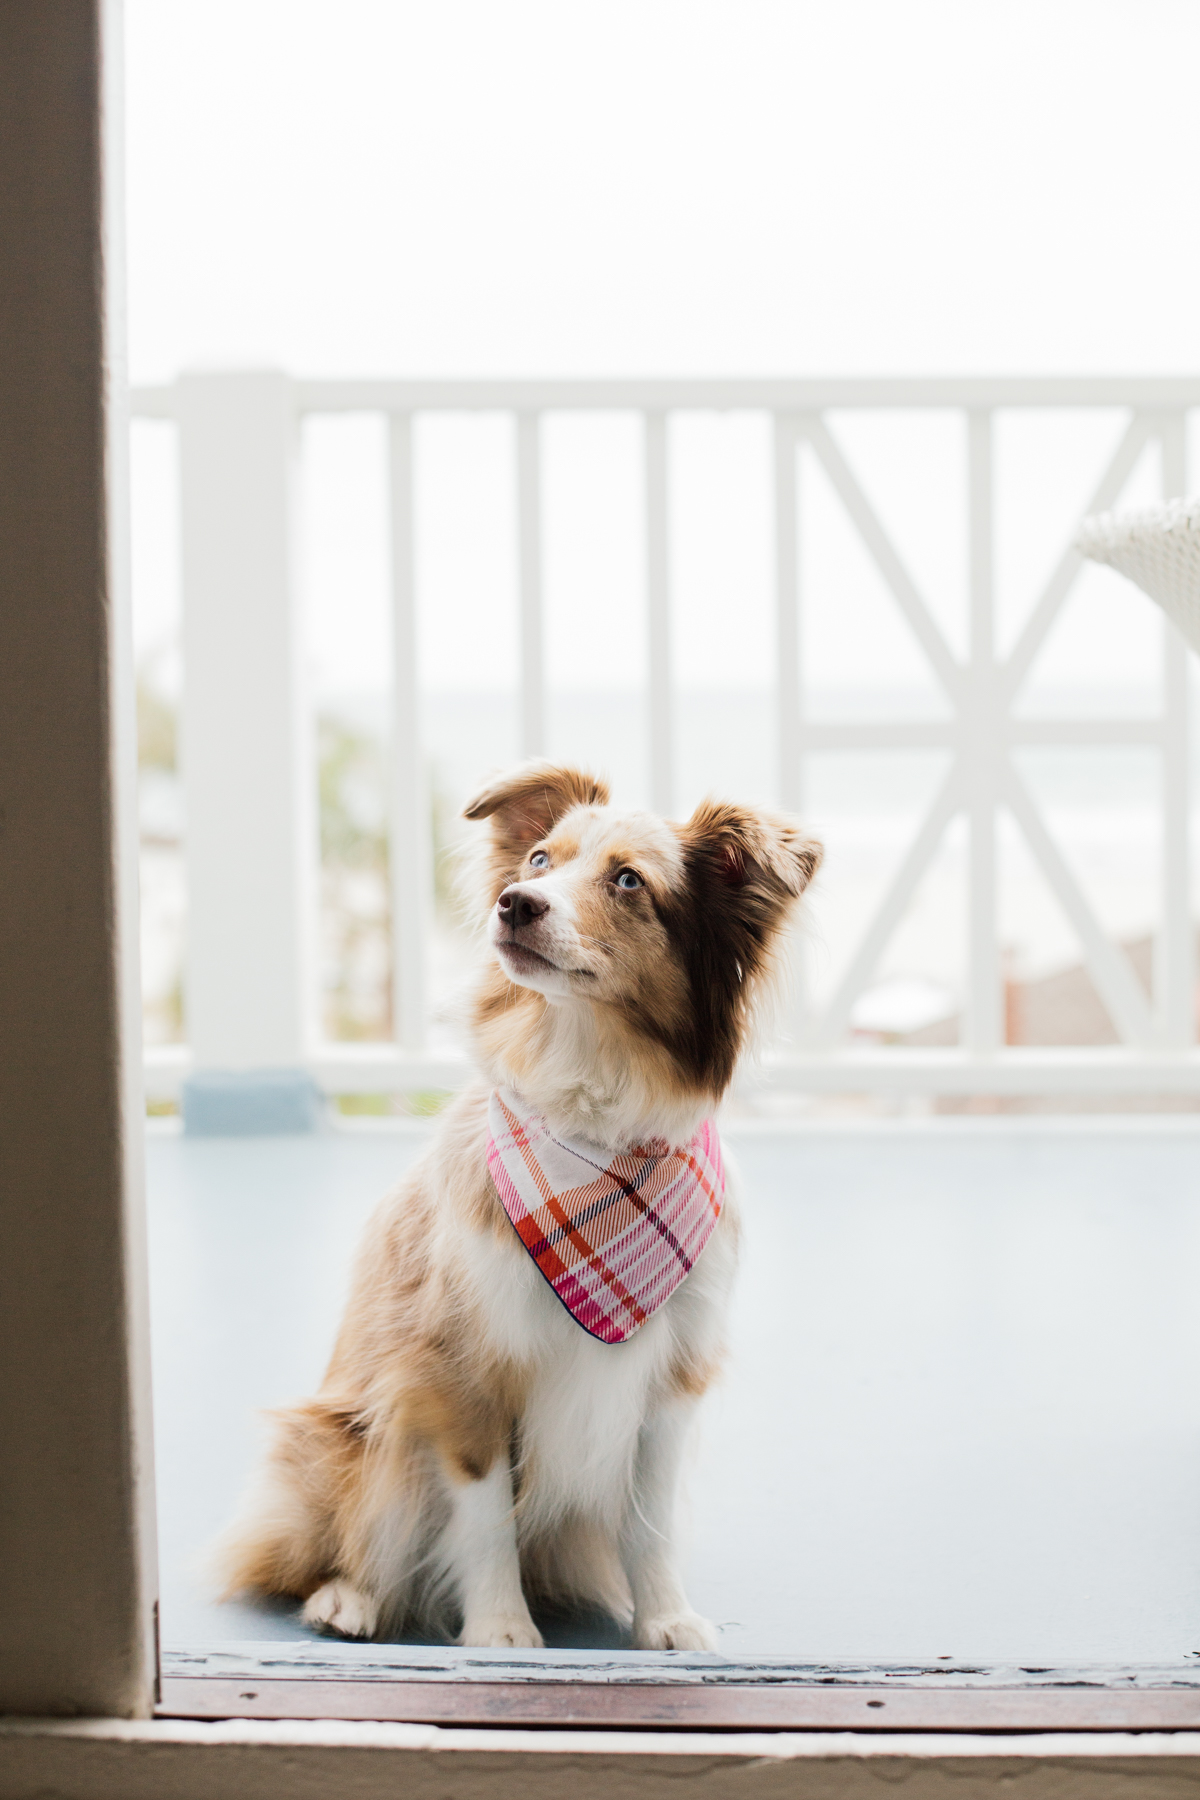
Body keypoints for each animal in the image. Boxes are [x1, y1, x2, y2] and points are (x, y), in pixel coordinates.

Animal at [215, 759, 820, 1648]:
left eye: (629, 881)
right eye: (538, 859)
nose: (516, 903)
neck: (595, 1127)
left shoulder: (673, 1379)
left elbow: (650, 1522)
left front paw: (665, 1619)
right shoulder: (460, 1367)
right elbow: (485, 1514)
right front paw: (500, 1629)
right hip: (347, 1436)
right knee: (337, 1539)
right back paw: (348, 1600)